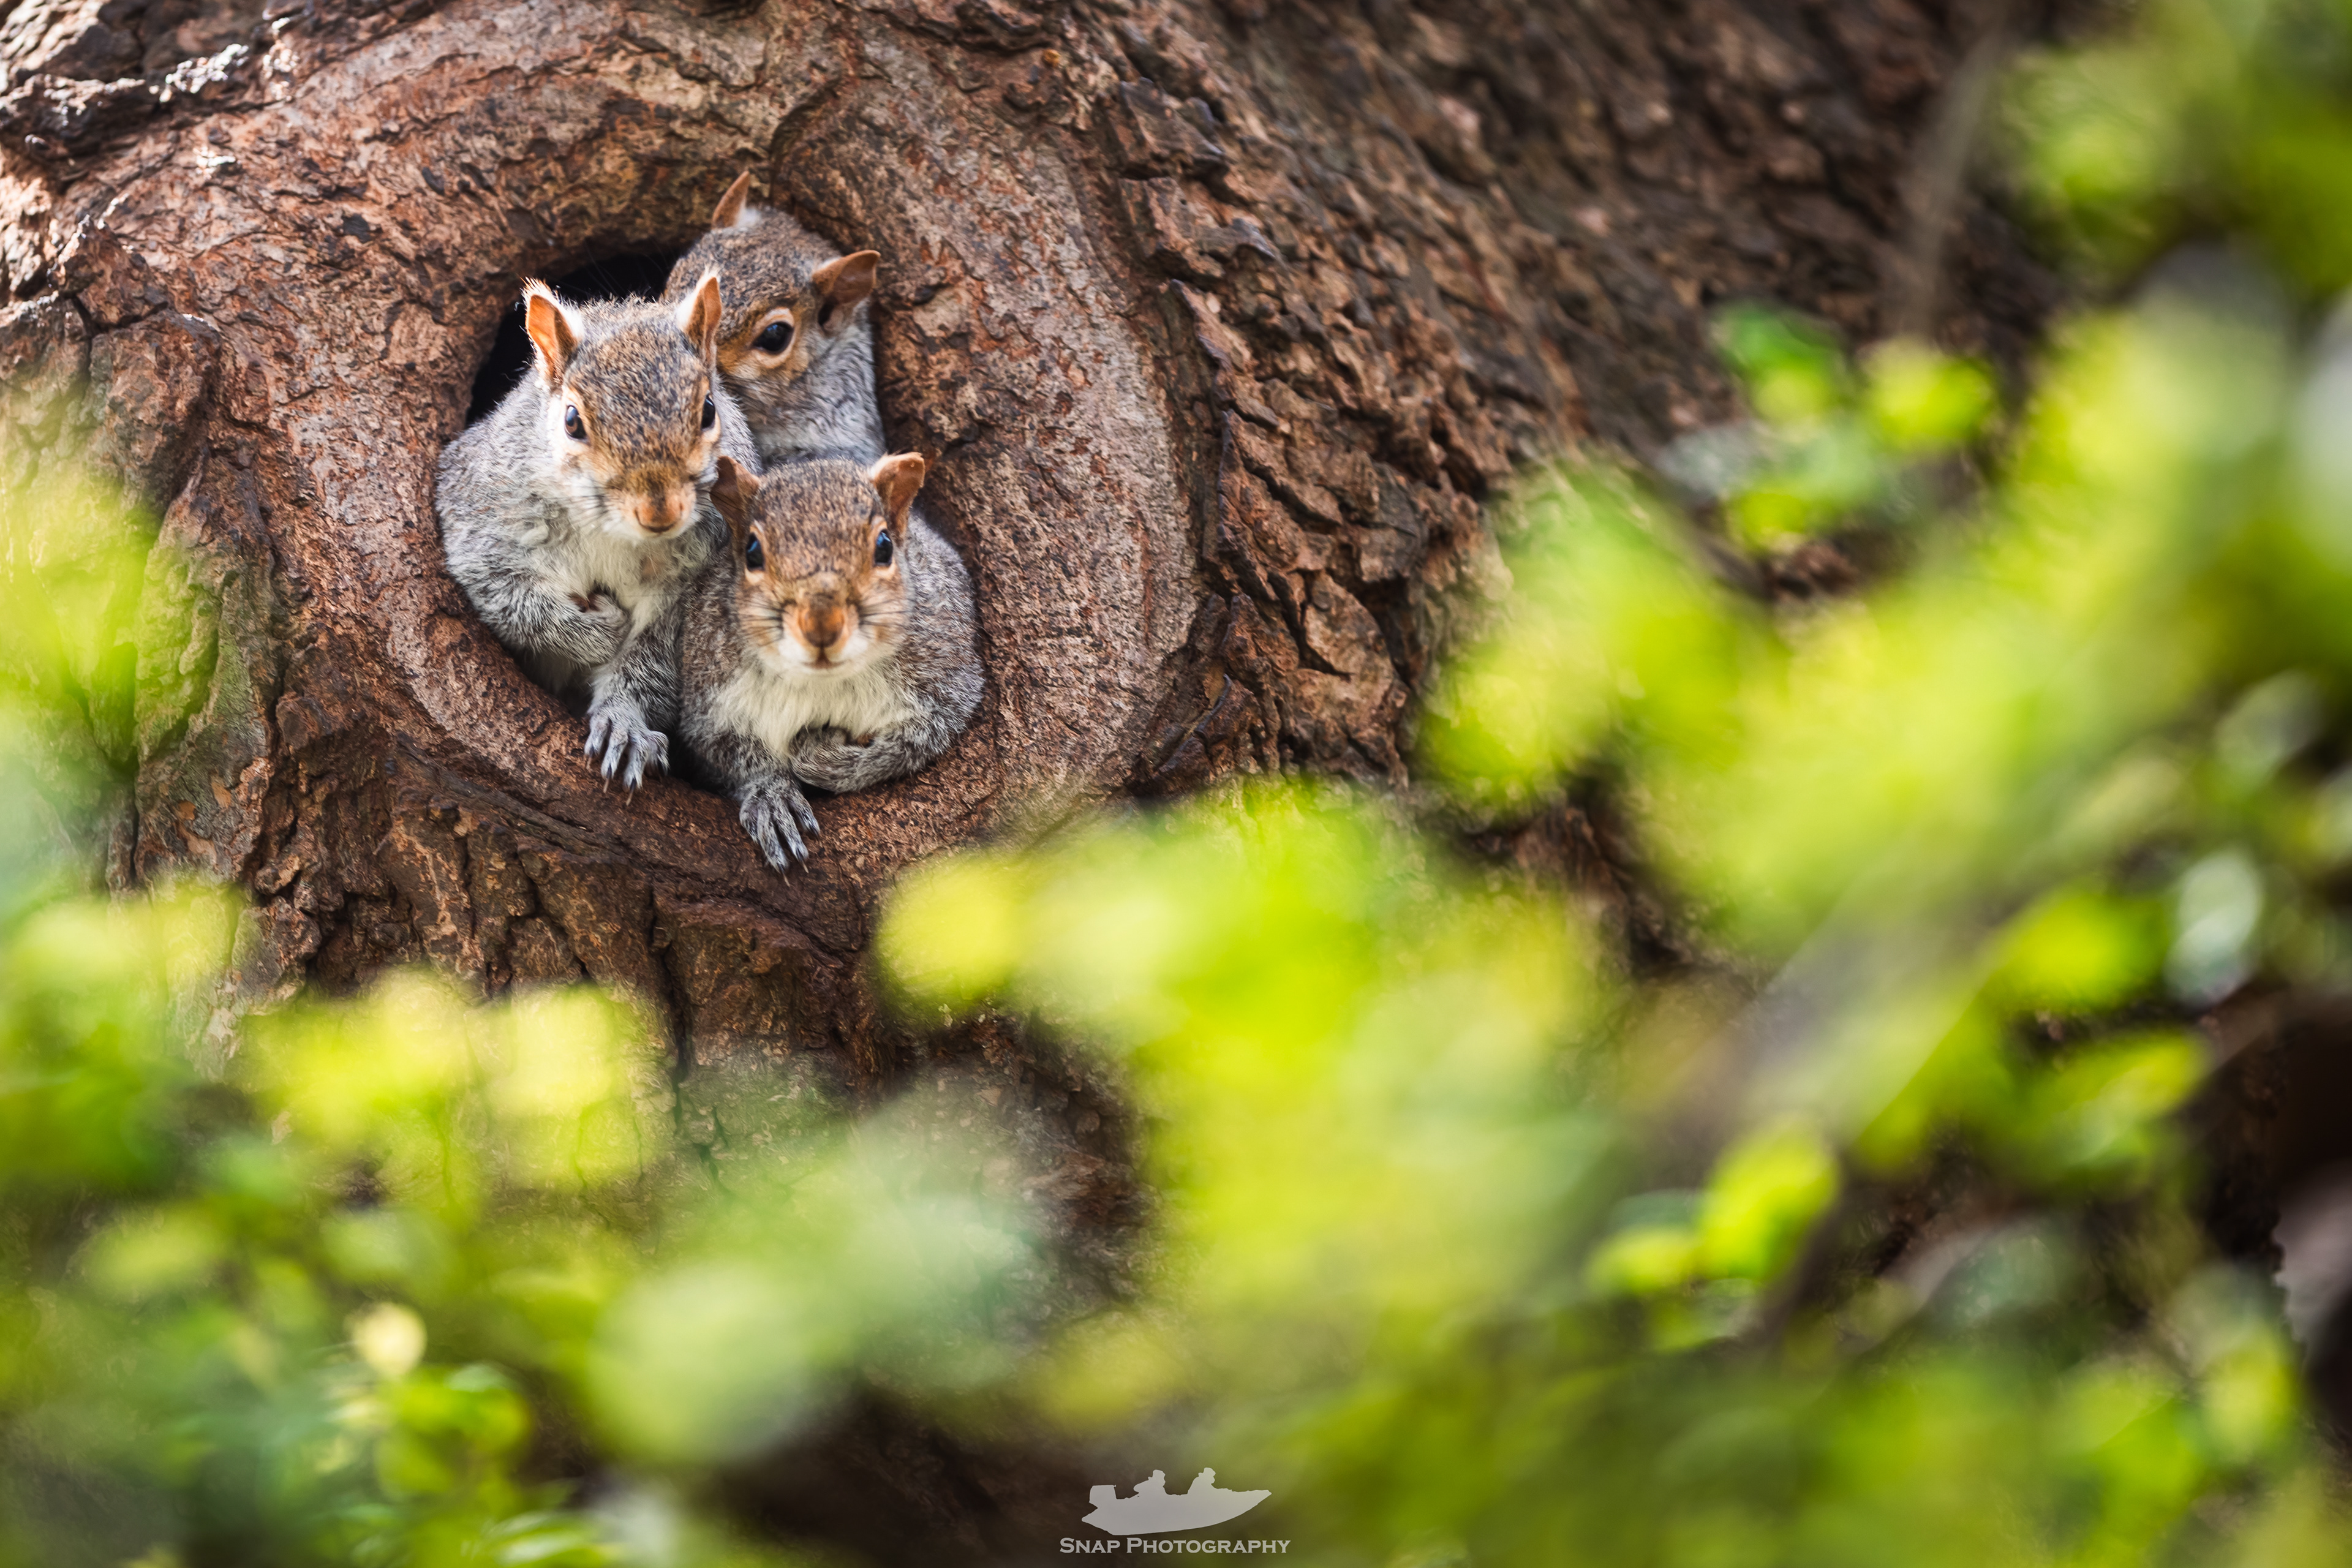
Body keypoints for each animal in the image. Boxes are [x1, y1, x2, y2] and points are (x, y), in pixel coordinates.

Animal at [437, 269, 760, 788]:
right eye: (572, 421)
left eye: (710, 410)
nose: (660, 511)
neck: (613, 531)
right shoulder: (480, 520)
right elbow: (510, 600)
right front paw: (602, 631)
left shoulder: (687, 588)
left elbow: (649, 663)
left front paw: (623, 724)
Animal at [678, 452, 982, 869]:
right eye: (752, 552)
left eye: (885, 546)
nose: (822, 626)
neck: (823, 681)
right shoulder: (709, 703)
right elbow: (731, 755)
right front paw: (772, 796)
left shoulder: (947, 678)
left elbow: (913, 743)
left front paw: (825, 758)